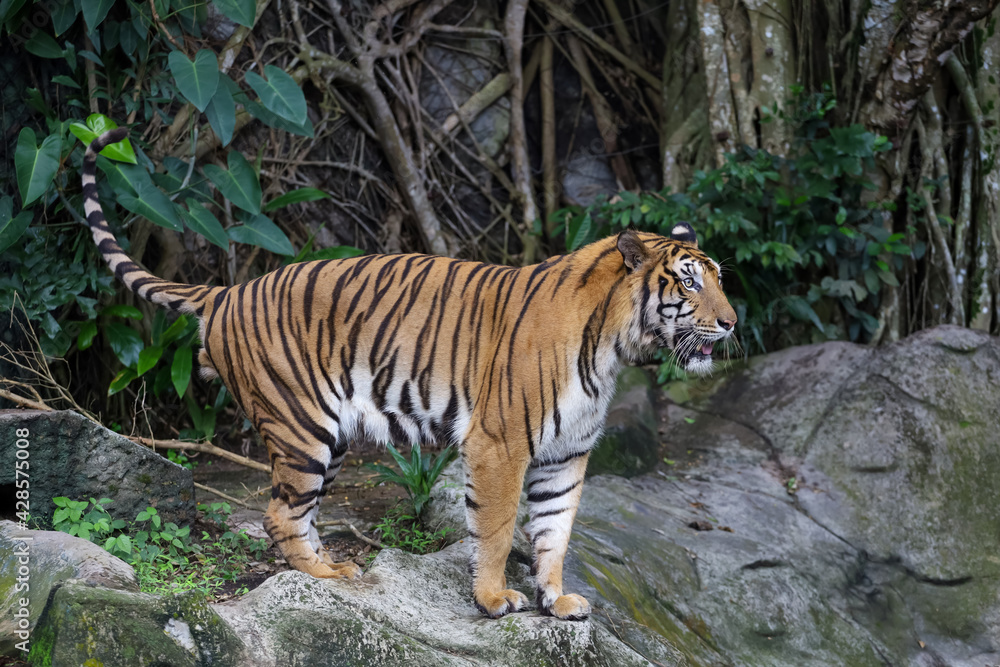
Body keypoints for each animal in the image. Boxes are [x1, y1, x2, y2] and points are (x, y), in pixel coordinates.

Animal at [81, 128, 737, 620]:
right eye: (688, 282)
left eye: (718, 278)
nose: (732, 323)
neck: (612, 350)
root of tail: (225, 291)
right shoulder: (500, 444)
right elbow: (498, 527)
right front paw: (494, 598)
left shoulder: (566, 453)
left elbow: (554, 533)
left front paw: (557, 600)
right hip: (300, 426)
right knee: (277, 514)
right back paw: (329, 575)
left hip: (331, 437)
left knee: (299, 512)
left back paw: (333, 565)